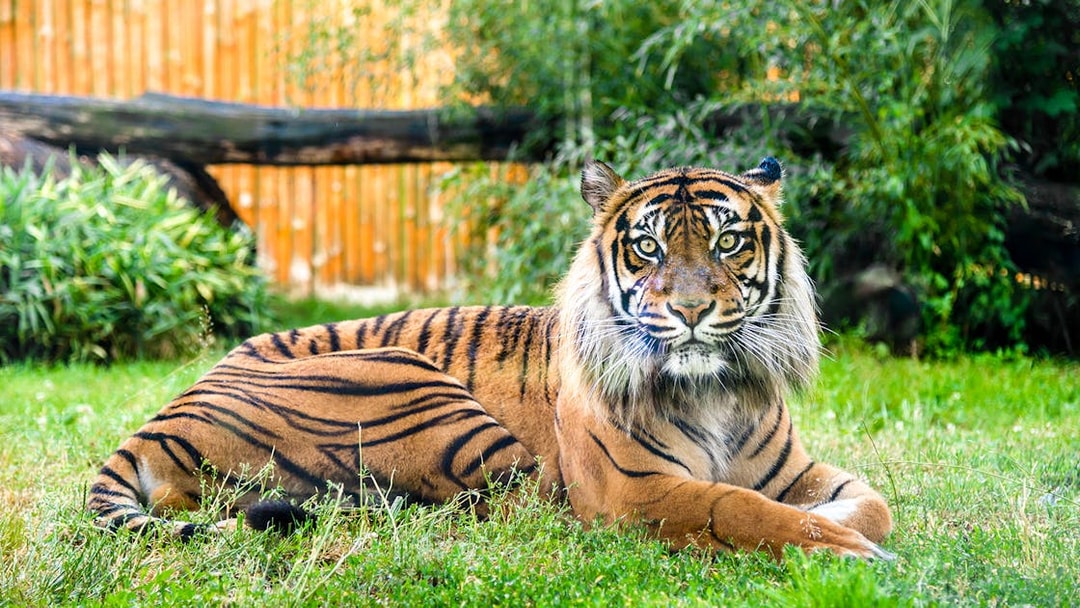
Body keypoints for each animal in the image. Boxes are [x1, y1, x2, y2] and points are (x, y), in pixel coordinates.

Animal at [88, 157, 894, 560]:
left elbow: (872, 504)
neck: (715, 391)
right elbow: (735, 505)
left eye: (729, 242)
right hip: (419, 391)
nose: (692, 311)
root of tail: (156, 421)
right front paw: (847, 552)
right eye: (647, 247)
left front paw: (851, 531)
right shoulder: (633, 490)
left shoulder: (793, 470)